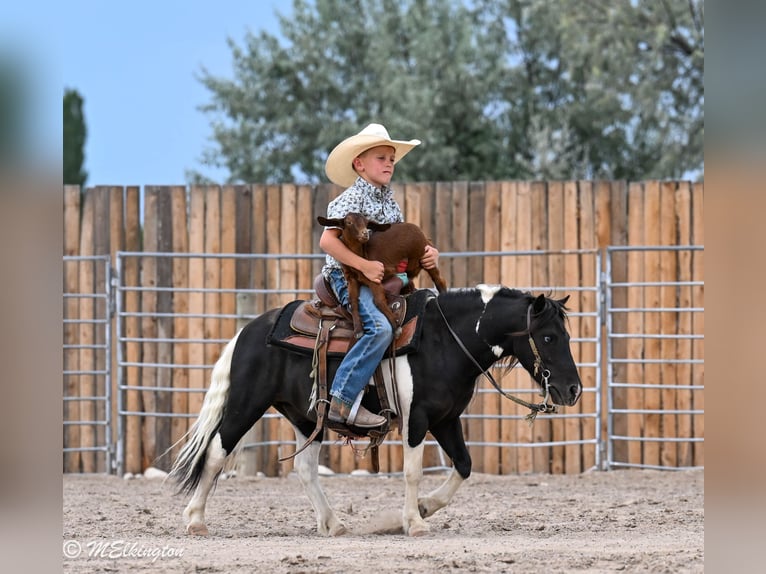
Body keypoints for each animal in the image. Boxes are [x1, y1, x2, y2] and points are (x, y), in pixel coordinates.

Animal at [168, 284, 582, 537]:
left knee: (304, 468)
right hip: (246, 402)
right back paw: (195, 520)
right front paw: (414, 521)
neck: (445, 339)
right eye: (548, 337)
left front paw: (425, 508)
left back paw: (333, 524)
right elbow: (412, 472)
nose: (573, 390)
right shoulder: (417, 419)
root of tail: (247, 332)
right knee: (217, 451)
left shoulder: (447, 419)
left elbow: (464, 466)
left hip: (304, 416)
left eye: (567, 335)